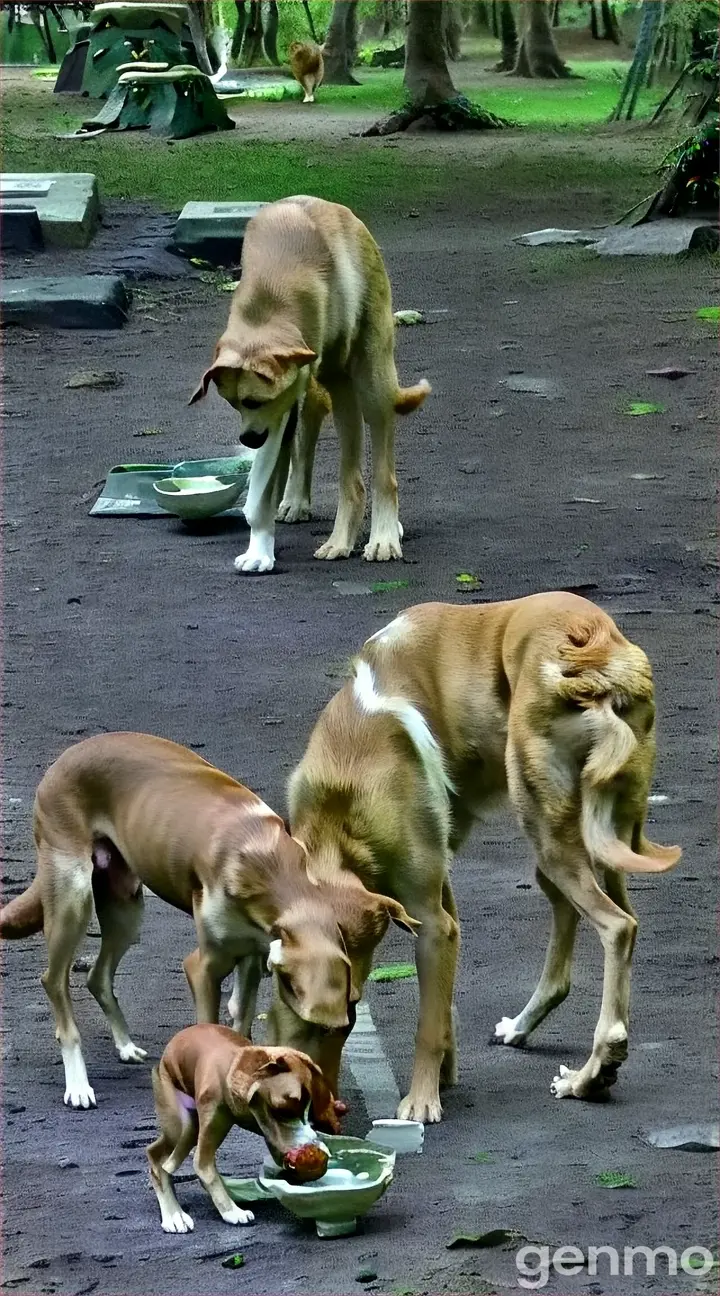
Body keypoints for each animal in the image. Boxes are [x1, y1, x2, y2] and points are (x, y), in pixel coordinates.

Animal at [0, 736, 416, 1109]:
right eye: (313, 1026)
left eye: (347, 1026)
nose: (332, 1102)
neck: (272, 869)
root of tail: (66, 757)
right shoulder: (203, 967)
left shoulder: (253, 957)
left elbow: (241, 1019)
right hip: (73, 897)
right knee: (54, 981)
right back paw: (78, 1085)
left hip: (126, 907)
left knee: (97, 975)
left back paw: (125, 1045)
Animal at [146, 1021, 341, 1233]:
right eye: (284, 1110)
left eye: (312, 1111)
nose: (310, 1146)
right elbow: (204, 1167)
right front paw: (231, 1211)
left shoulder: (271, 1130)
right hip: (183, 1126)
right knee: (162, 1160)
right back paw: (173, 1215)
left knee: (157, 1154)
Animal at [189, 195, 429, 572]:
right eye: (234, 403)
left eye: (255, 401)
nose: (249, 439)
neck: (268, 306)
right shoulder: (285, 404)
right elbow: (268, 482)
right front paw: (260, 545)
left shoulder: (287, 401)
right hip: (330, 390)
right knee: (327, 453)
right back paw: (311, 515)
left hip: (371, 379)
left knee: (378, 472)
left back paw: (382, 536)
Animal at [284, 593, 678, 1119]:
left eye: (345, 1015)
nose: (314, 1109)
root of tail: (587, 645)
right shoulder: (437, 893)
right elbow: (442, 1004)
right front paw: (446, 1072)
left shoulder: (432, 918)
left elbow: (429, 1019)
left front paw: (424, 1098)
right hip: (599, 841)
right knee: (596, 925)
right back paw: (543, 1038)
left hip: (547, 833)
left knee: (616, 926)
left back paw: (589, 1072)